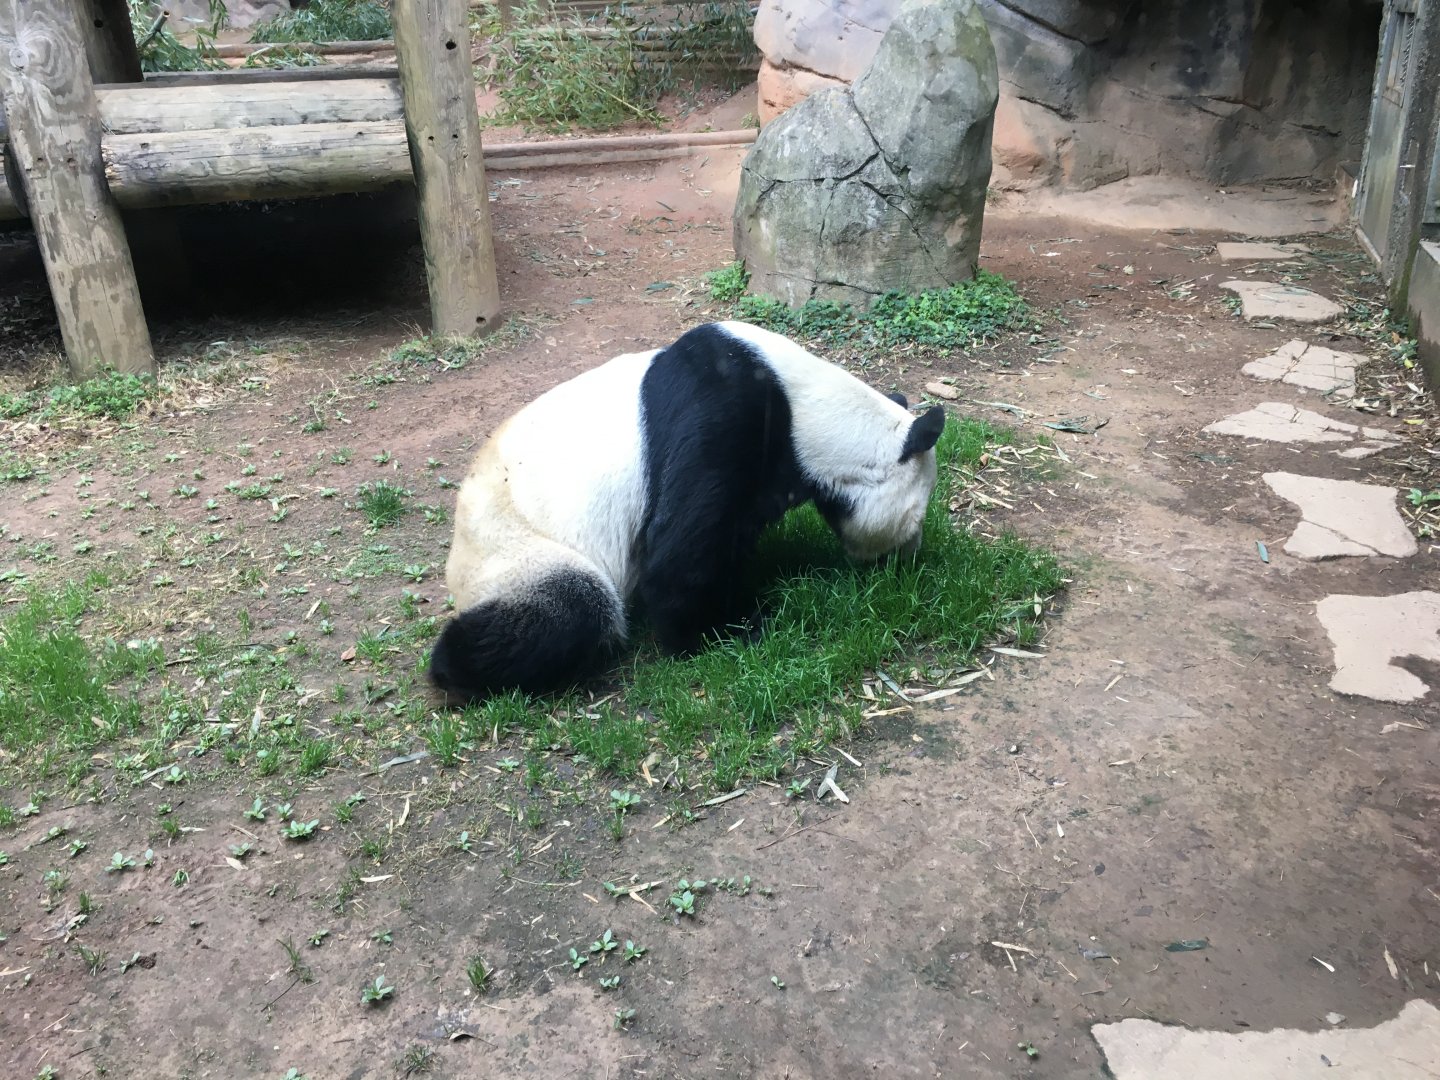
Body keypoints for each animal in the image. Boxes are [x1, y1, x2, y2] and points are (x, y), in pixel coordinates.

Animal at [428, 320, 946, 702]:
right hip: (514, 550)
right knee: (572, 608)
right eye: (917, 519)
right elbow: (679, 557)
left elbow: (725, 540)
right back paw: (453, 670)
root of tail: (457, 569)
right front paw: (723, 632)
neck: (809, 411)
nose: (909, 557)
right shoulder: (721, 413)